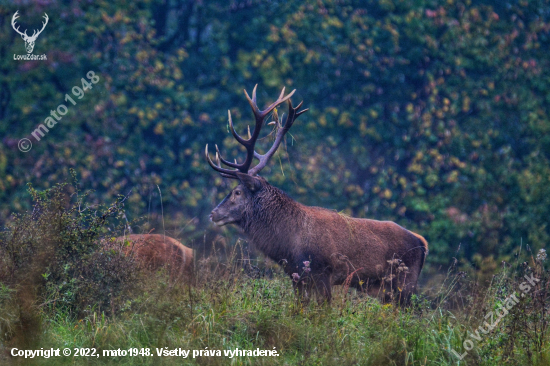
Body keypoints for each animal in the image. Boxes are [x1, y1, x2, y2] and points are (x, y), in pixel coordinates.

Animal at [205, 86, 430, 304]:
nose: (213, 213)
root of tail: (422, 243)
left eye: (237, 192)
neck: (288, 244)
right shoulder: (296, 275)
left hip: (404, 284)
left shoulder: (322, 272)